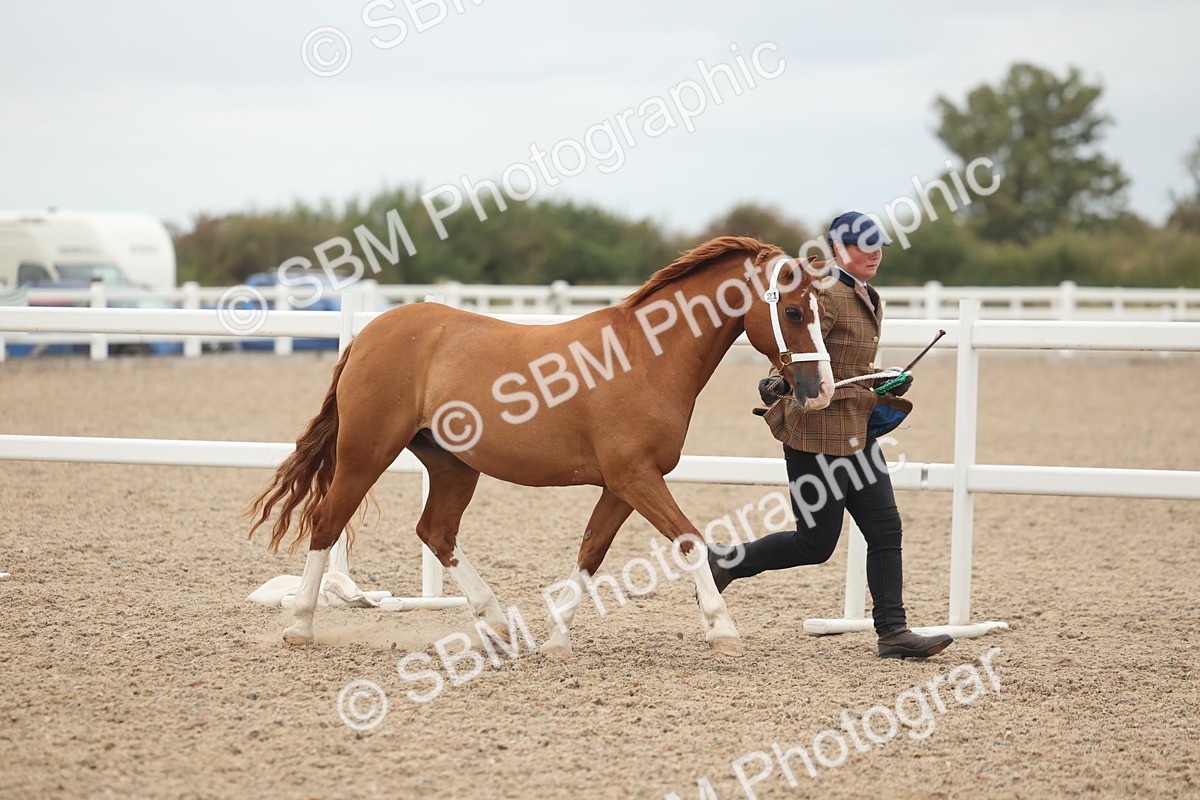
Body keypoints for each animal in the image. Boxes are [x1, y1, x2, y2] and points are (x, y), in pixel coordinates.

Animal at [247, 235, 835, 658]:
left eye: (821, 312)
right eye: (794, 313)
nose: (821, 391)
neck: (648, 356)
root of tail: (368, 334)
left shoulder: (621, 485)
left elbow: (591, 553)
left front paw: (556, 641)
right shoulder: (636, 477)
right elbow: (689, 541)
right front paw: (722, 630)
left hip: (453, 465)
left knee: (436, 532)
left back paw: (496, 623)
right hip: (367, 451)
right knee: (328, 520)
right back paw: (300, 626)